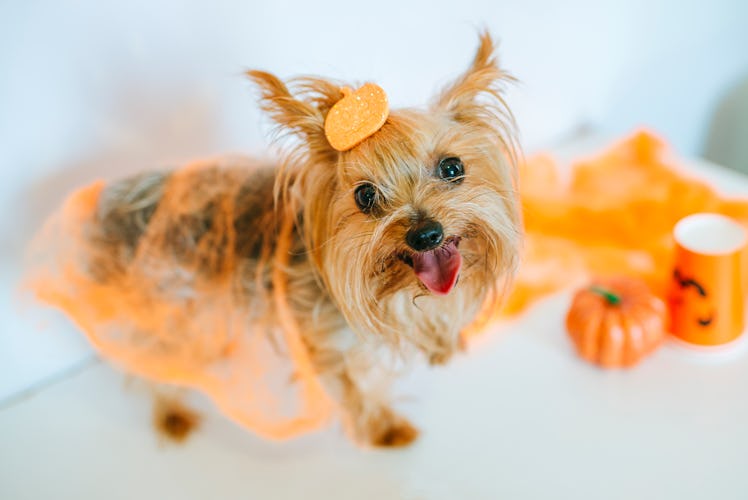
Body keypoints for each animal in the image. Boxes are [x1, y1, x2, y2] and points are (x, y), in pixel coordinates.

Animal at [33, 33, 520, 448]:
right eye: (365, 196)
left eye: (452, 167)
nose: (426, 234)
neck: (394, 290)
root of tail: (105, 202)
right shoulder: (323, 340)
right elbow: (353, 387)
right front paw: (384, 429)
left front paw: (442, 346)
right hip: (161, 298)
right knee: (151, 356)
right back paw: (172, 412)